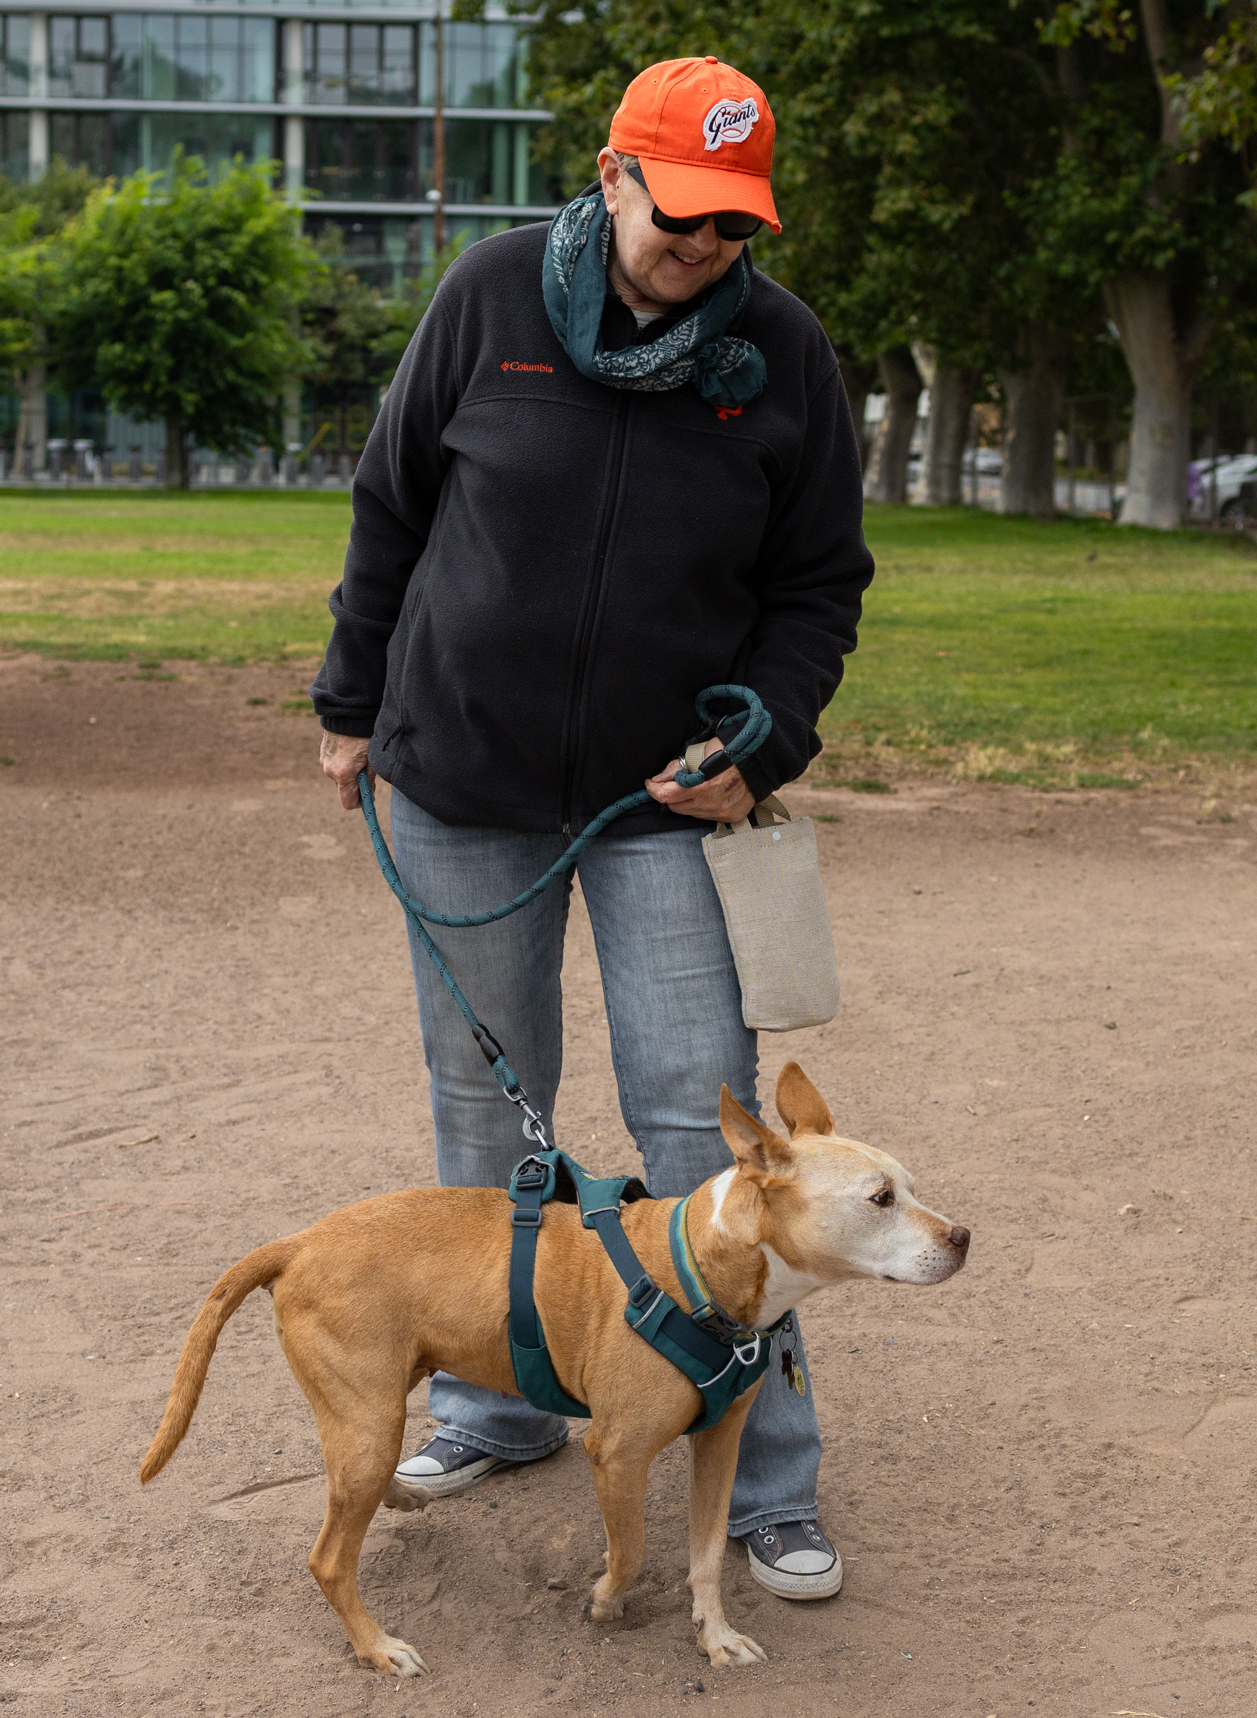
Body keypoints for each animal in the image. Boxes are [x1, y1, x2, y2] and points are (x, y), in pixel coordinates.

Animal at [145, 1058, 975, 1676]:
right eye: (879, 1199)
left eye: (910, 1186)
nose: (964, 1236)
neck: (699, 1270)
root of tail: (299, 1241)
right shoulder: (616, 1452)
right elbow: (632, 1550)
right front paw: (606, 1601)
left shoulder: (719, 1443)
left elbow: (705, 1555)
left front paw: (713, 1637)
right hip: (369, 1416)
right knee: (327, 1559)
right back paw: (377, 1648)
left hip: (372, 1413)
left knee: (352, 1491)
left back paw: (399, 1502)